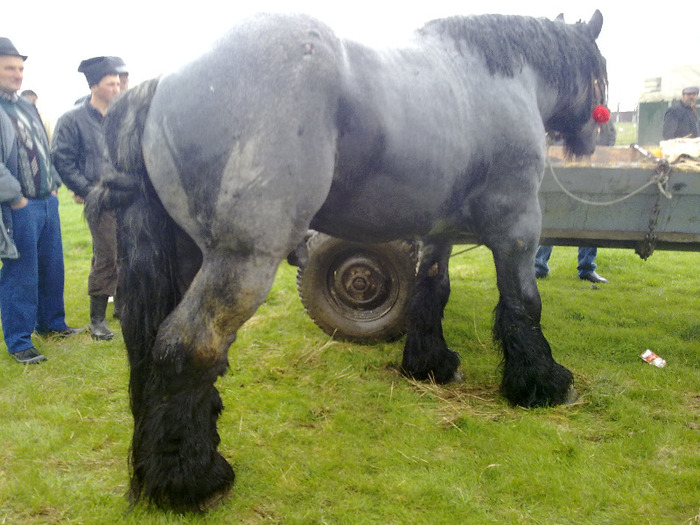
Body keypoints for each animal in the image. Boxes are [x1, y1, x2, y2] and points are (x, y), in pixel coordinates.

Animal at [90, 10, 608, 510]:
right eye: (601, 69)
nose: (596, 135)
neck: (502, 76)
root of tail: (164, 81)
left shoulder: (438, 230)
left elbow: (432, 290)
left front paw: (430, 364)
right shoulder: (517, 226)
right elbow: (524, 303)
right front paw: (543, 384)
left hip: (184, 256)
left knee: (150, 349)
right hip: (241, 262)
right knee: (189, 346)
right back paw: (194, 482)